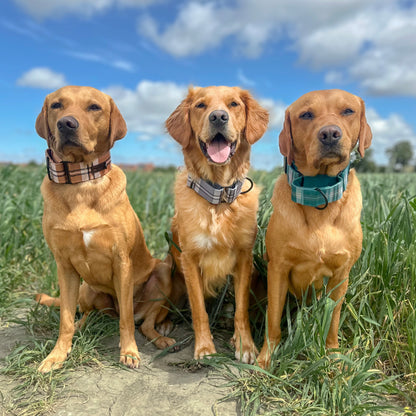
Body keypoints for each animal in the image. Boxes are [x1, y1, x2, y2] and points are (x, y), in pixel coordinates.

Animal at [36, 84, 177, 370]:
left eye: (94, 107)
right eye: (56, 105)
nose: (66, 123)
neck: (80, 182)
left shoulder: (121, 261)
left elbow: (127, 321)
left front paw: (130, 352)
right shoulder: (64, 266)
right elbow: (65, 319)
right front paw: (57, 355)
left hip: (163, 273)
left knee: (144, 323)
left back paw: (162, 336)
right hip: (85, 290)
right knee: (86, 314)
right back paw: (82, 326)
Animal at [166, 86, 270, 362]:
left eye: (233, 104)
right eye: (200, 105)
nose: (218, 117)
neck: (219, 197)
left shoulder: (244, 258)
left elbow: (241, 309)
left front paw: (245, 345)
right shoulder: (190, 259)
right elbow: (199, 309)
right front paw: (204, 347)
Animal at [258, 88, 372, 368]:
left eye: (348, 111)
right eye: (306, 115)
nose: (330, 133)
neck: (318, 191)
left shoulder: (341, 274)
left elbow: (332, 320)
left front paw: (333, 356)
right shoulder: (278, 269)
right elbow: (273, 320)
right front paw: (265, 359)